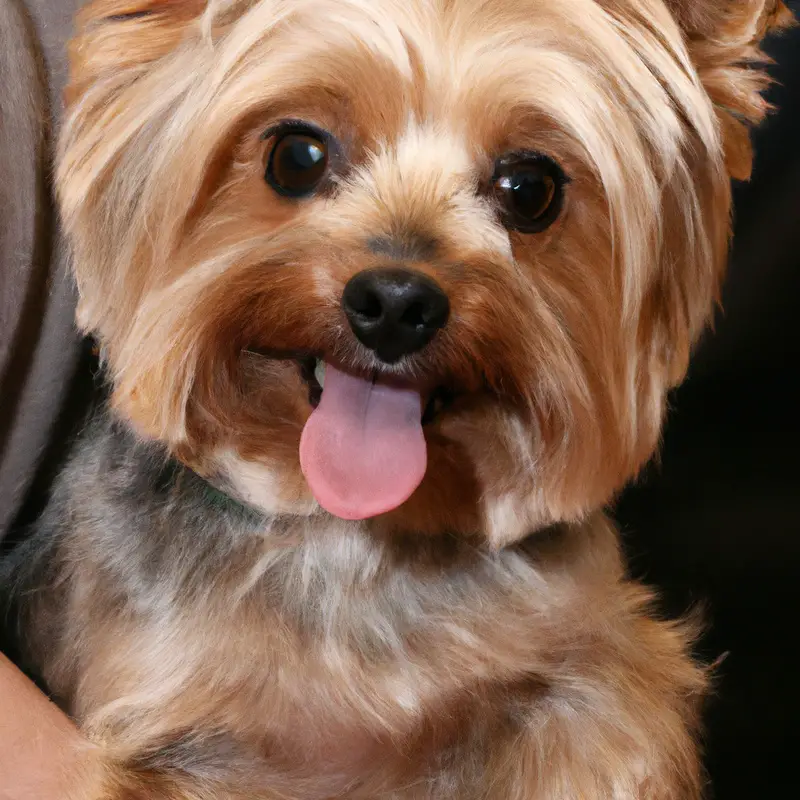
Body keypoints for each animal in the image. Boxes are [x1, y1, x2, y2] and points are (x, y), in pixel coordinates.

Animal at [1, 0, 788, 796]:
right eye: (297, 156)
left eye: (531, 189)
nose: (396, 303)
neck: (356, 539)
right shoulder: (175, 738)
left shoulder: (587, 682)